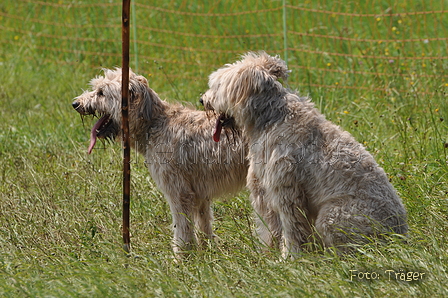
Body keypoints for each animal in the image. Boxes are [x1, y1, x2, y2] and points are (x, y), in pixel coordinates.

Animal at [73, 68, 248, 256]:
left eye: (101, 93)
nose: (75, 103)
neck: (154, 124)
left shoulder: (179, 191)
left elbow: (182, 229)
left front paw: (182, 257)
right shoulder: (200, 193)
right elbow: (204, 223)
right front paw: (207, 251)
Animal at [201, 52, 408, 258]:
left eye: (216, 85)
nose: (202, 100)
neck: (271, 118)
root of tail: (400, 235)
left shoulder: (286, 191)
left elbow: (291, 229)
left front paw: (289, 257)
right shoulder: (265, 193)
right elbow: (270, 228)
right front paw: (268, 253)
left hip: (333, 216)